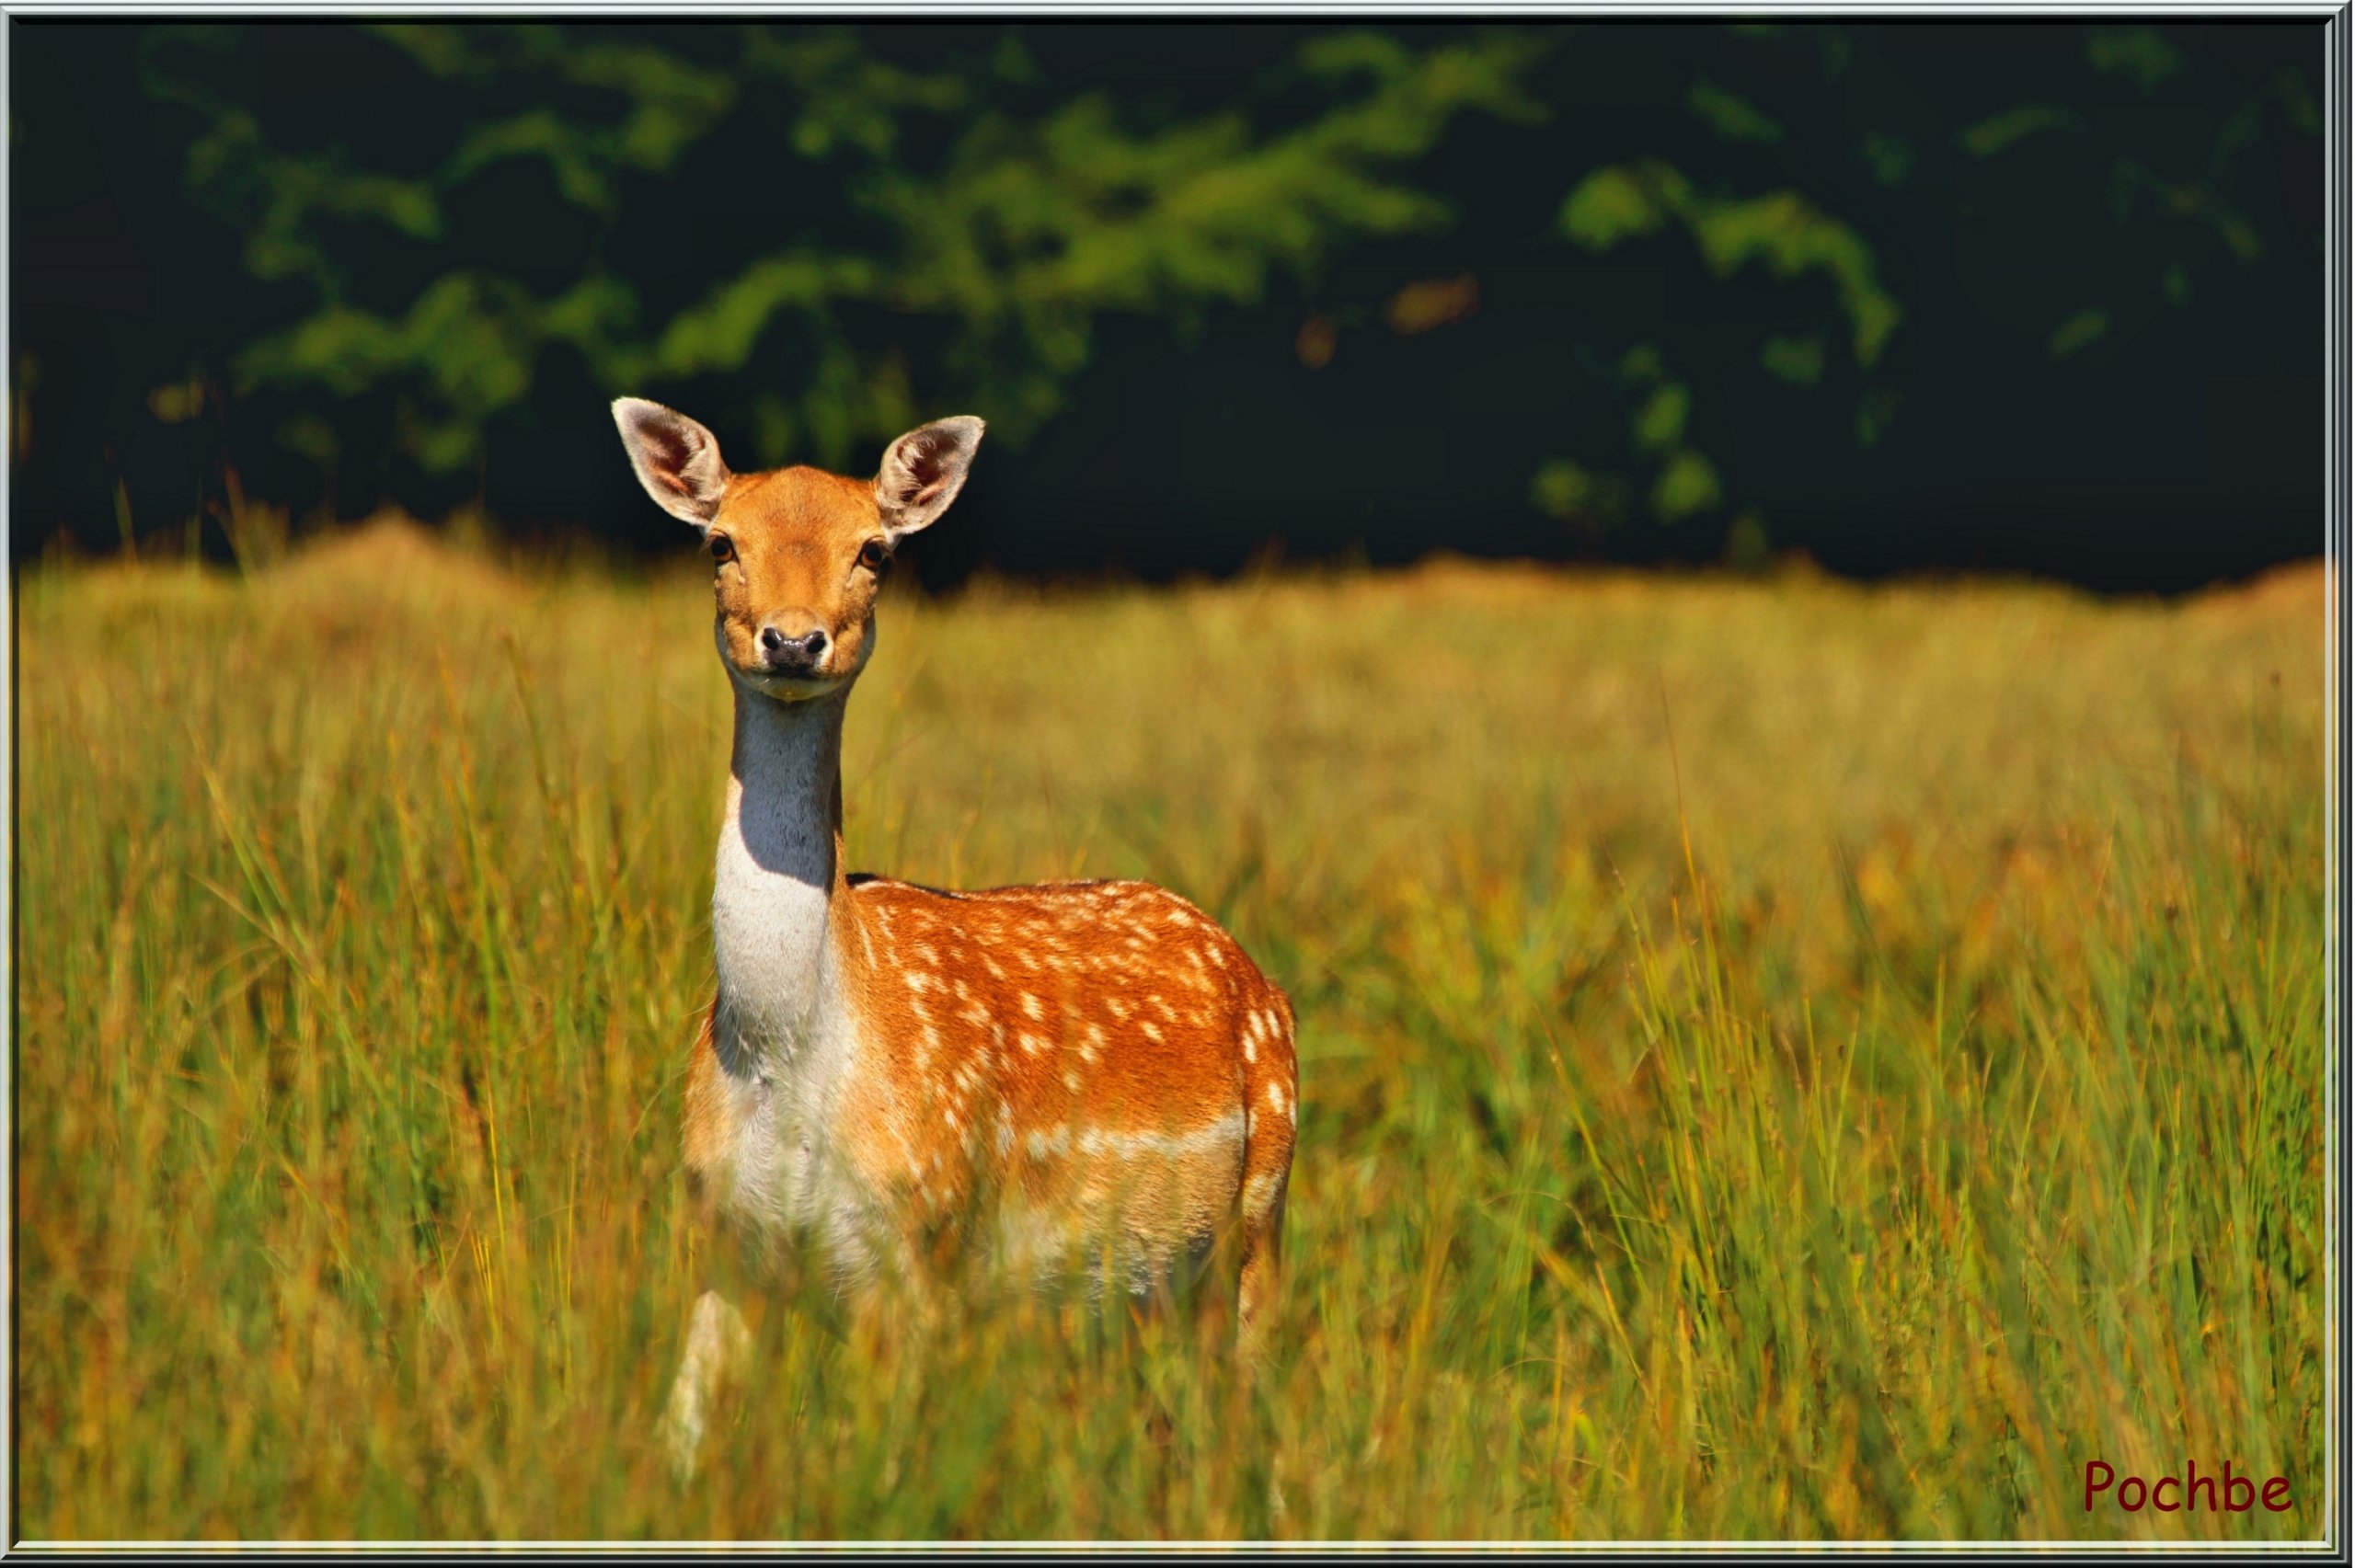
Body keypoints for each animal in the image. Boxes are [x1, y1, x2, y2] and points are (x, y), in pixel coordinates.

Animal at [612, 397, 1309, 1469]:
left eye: (874, 550)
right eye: (720, 541)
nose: (793, 641)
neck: (786, 1052)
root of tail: (1255, 974)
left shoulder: (917, 1250)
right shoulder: (725, 1241)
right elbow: (680, 1437)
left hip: (1262, 1208)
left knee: (1253, 1402)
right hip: (1138, 1287)